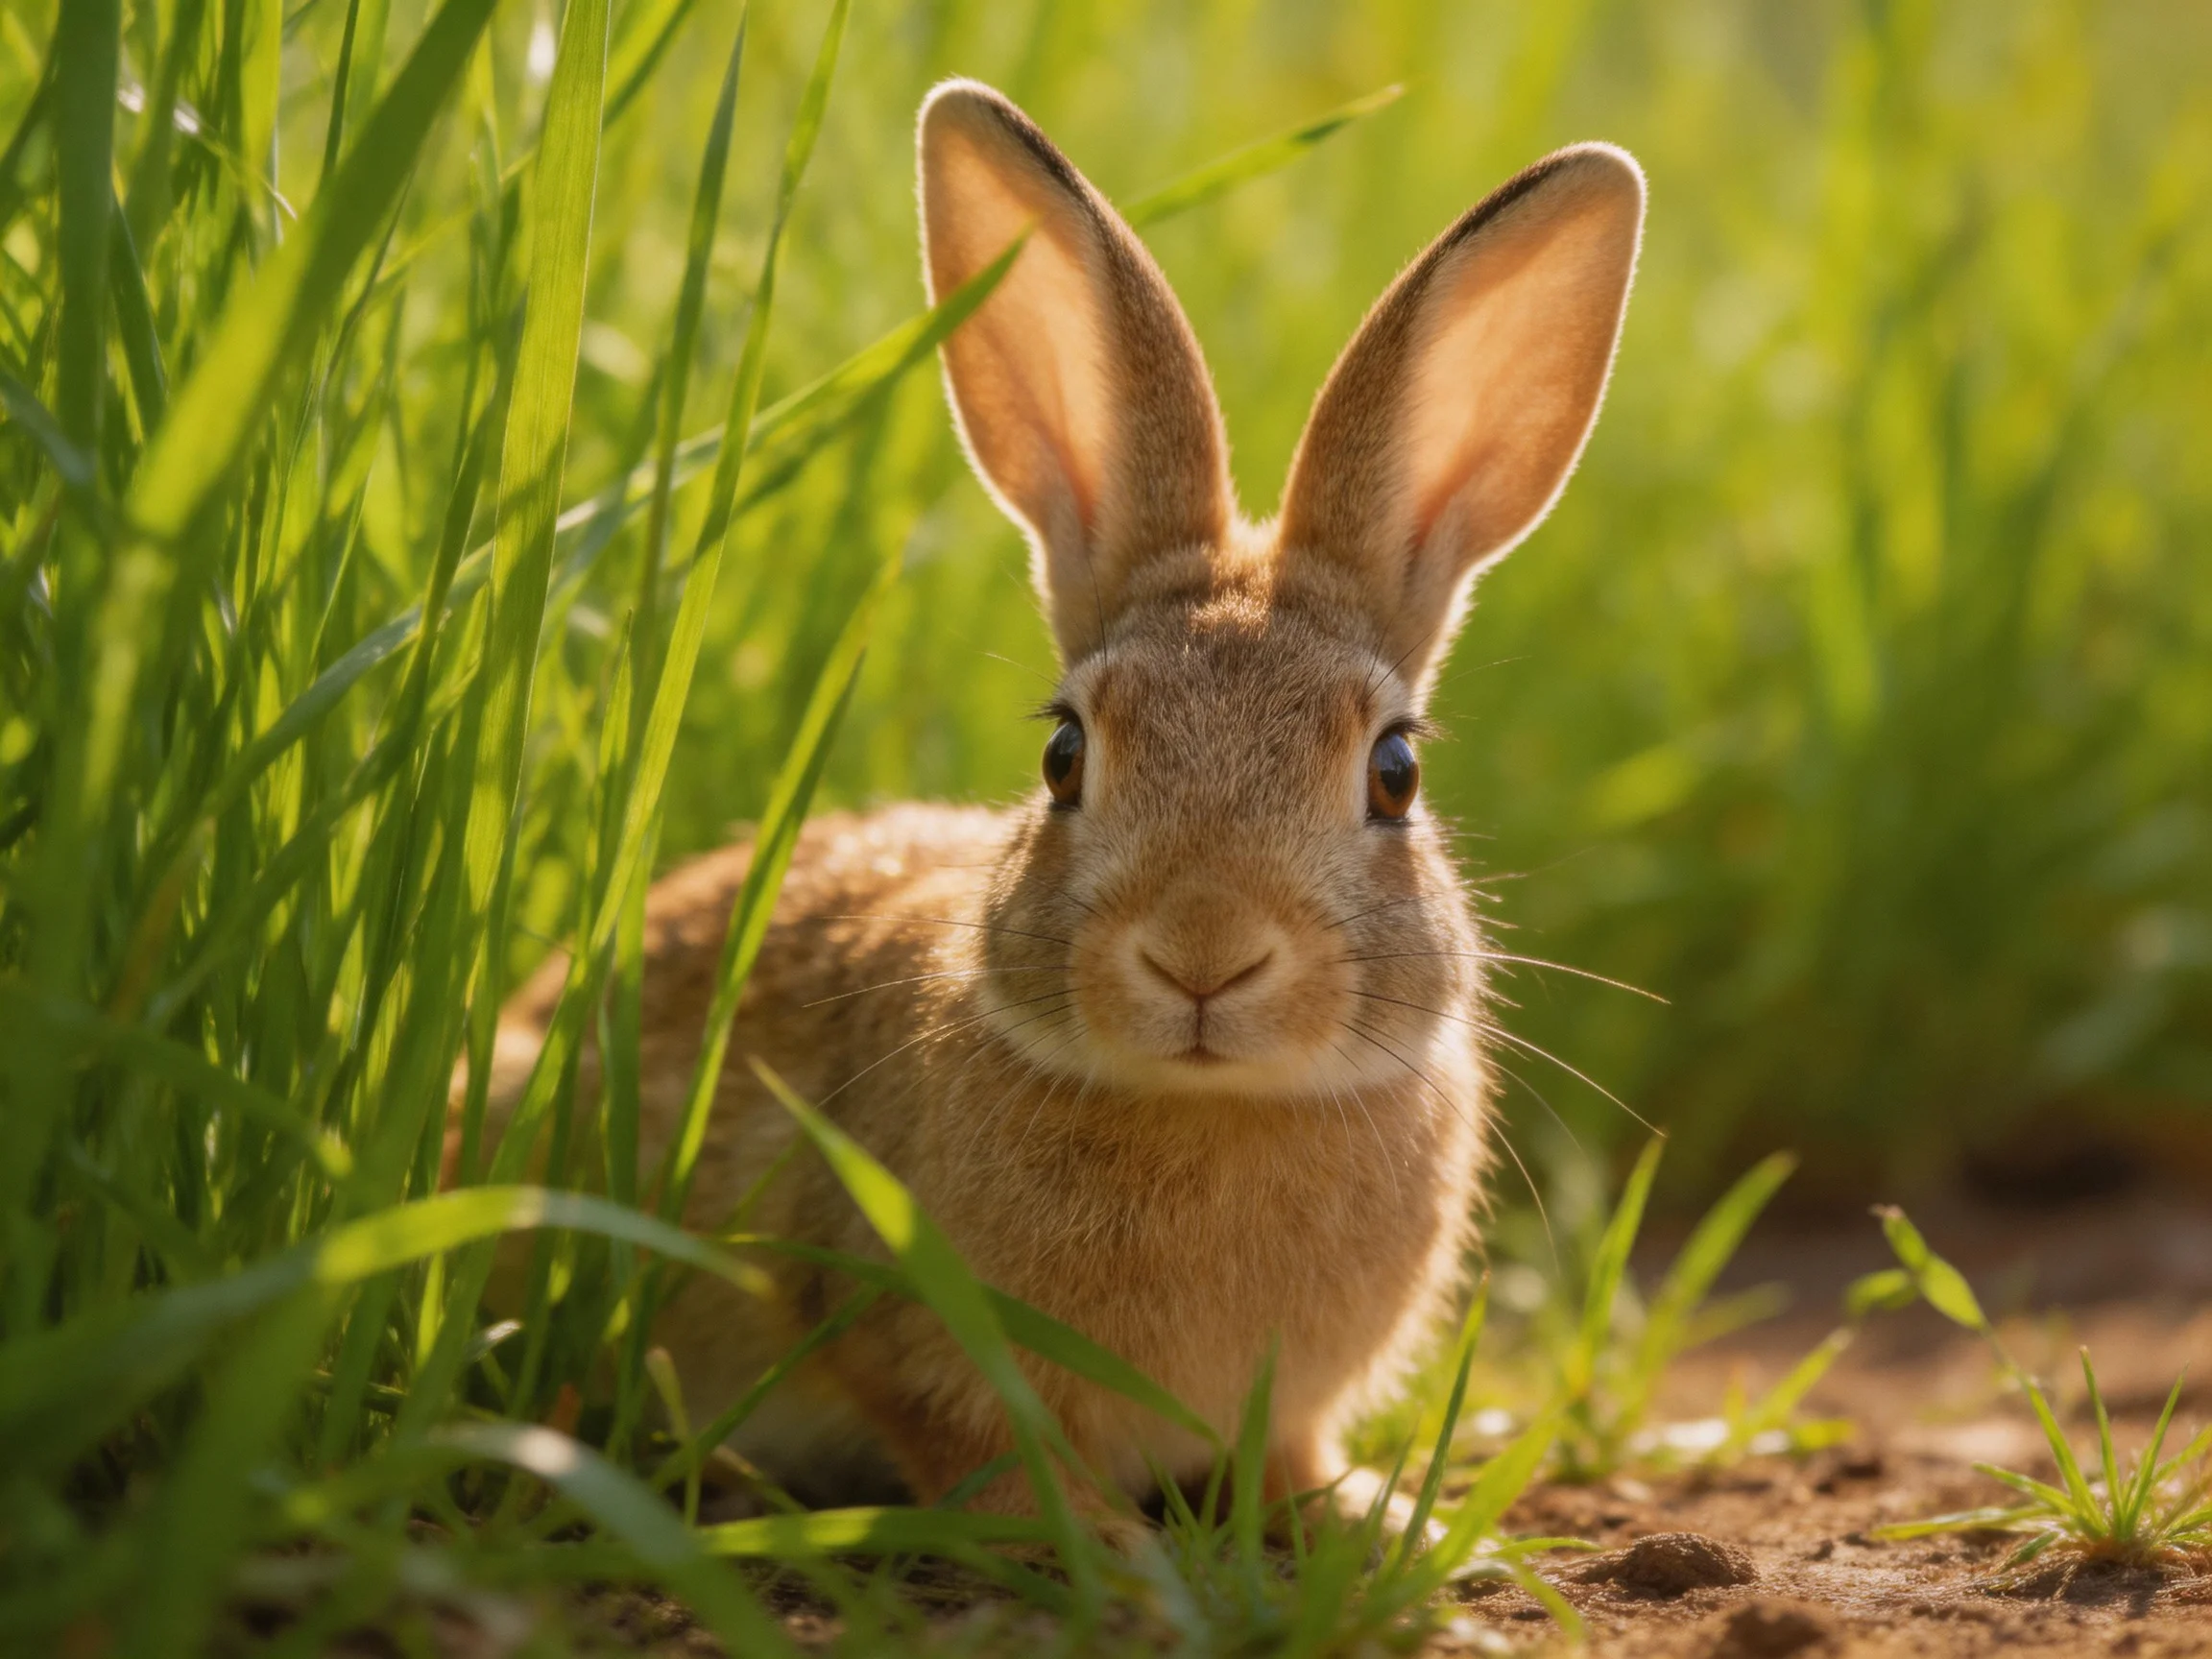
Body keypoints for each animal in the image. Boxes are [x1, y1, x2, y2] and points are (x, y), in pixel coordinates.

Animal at [473, 78, 1644, 1535]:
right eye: (1065, 757)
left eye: (1395, 772)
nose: (1203, 954)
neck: (1213, 1108)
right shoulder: (906, 1344)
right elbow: (989, 1460)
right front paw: (1113, 1554)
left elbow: (1293, 1456)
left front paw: (1388, 1524)